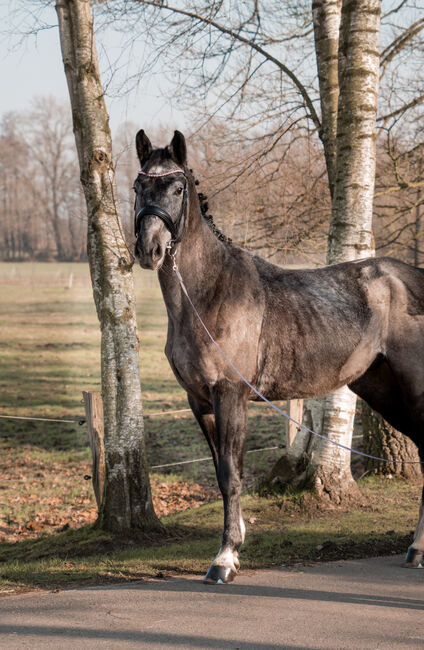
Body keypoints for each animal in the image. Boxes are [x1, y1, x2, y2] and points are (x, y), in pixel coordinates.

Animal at [132, 128, 424, 584]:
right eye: (136, 187)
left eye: (178, 188)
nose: (149, 249)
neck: (209, 293)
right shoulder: (199, 401)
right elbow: (220, 472)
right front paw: (235, 545)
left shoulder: (231, 395)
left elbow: (231, 475)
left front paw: (225, 559)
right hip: (382, 390)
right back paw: (415, 549)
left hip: (414, 387)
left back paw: (418, 547)